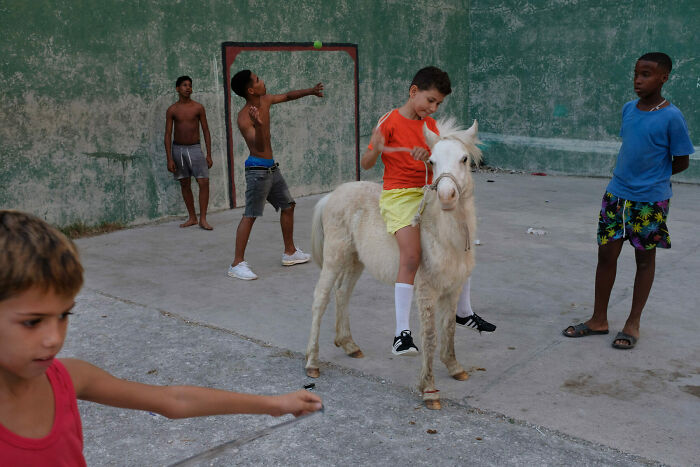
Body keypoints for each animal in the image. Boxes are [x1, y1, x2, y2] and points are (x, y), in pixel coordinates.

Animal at [304, 118, 483, 410]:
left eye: (464, 158)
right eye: (431, 161)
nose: (447, 196)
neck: (442, 236)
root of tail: (333, 195)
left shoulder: (453, 288)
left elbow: (448, 329)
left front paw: (454, 367)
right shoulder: (426, 291)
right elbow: (430, 336)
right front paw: (429, 389)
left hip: (356, 260)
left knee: (342, 293)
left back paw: (349, 344)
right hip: (334, 257)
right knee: (321, 298)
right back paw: (311, 361)